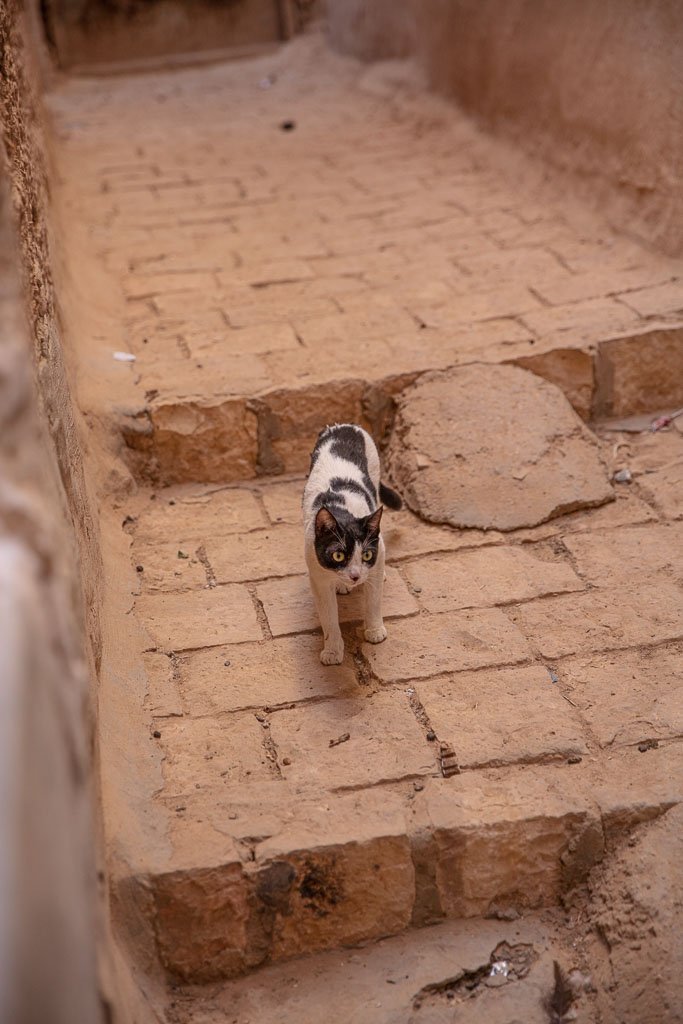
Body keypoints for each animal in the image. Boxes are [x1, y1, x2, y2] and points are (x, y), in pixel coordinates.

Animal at [303, 423, 401, 663]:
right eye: (338, 555)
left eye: (367, 554)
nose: (355, 576)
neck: (341, 510)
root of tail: (345, 425)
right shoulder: (317, 576)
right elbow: (328, 617)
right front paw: (332, 651)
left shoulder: (378, 549)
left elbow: (373, 600)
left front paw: (374, 631)